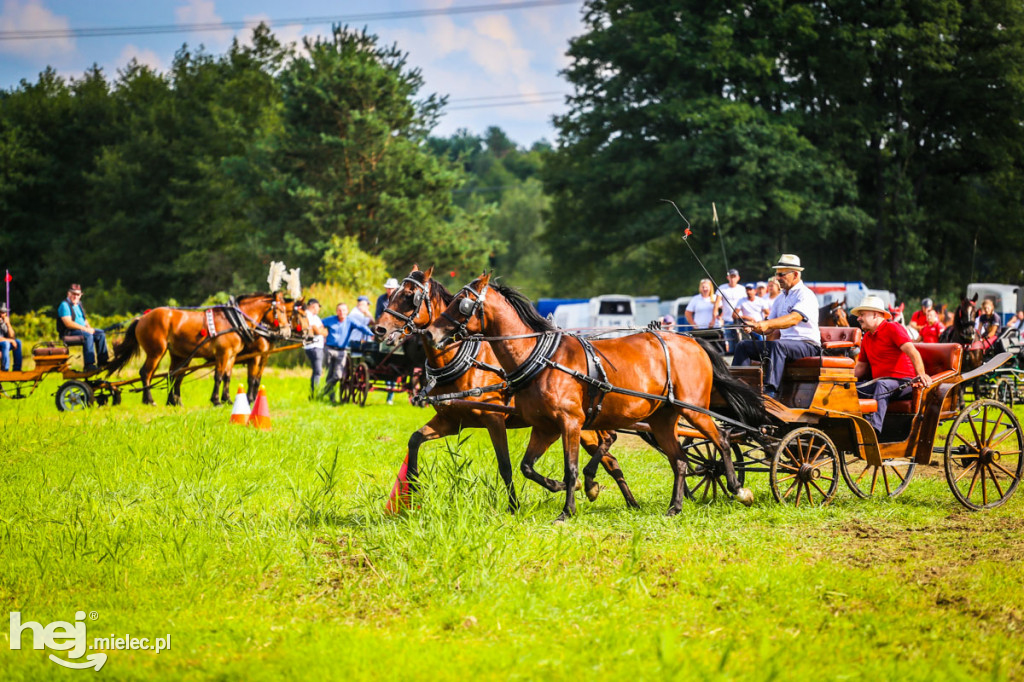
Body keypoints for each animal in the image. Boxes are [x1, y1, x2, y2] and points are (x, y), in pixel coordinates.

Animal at [109, 292, 299, 403]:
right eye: (282, 311)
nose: (286, 331)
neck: (235, 321)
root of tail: (142, 318)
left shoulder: (232, 356)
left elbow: (228, 377)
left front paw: (228, 399)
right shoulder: (225, 353)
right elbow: (219, 376)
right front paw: (216, 400)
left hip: (178, 354)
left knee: (172, 375)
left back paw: (173, 401)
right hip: (156, 351)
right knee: (146, 373)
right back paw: (149, 399)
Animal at [374, 266, 630, 509]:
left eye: (410, 296)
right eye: (392, 295)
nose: (380, 329)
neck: (463, 360)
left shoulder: (494, 419)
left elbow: (505, 465)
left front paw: (514, 505)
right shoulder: (451, 420)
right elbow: (414, 440)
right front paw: (412, 488)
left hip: (580, 423)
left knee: (609, 442)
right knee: (611, 458)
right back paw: (617, 497)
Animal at [423, 274, 770, 518]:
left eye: (461, 303)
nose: (430, 333)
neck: (542, 358)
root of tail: (693, 341)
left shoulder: (571, 423)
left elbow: (571, 466)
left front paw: (568, 508)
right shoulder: (545, 426)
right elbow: (527, 467)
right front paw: (563, 487)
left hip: (695, 410)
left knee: (721, 441)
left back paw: (738, 489)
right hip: (662, 419)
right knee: (680, 460)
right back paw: (675, 507)